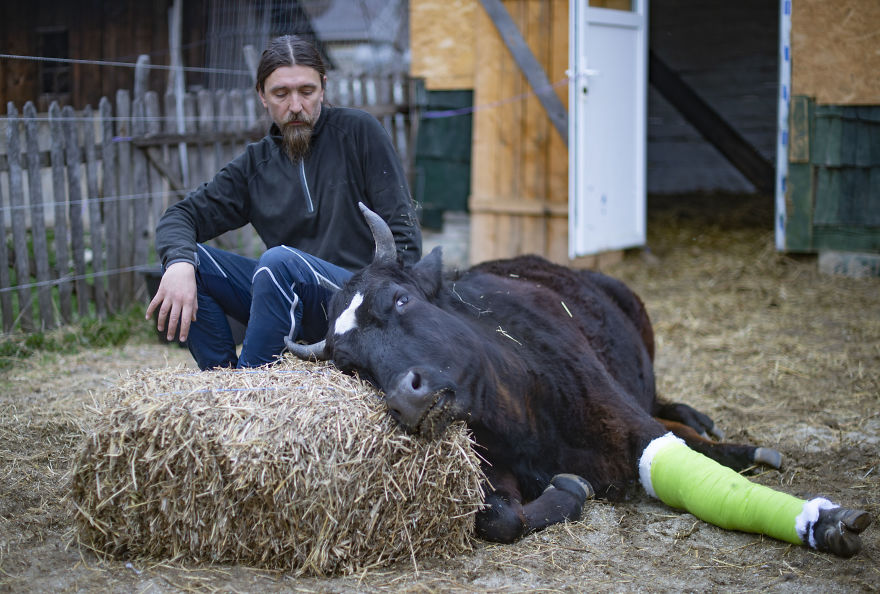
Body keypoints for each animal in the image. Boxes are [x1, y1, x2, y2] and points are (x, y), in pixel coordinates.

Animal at [287, 204, 871, 557]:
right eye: (350, 364)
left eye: (400, 299)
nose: (403, 399)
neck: (521, 411)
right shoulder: (492, 466)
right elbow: (499, 518)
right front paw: (567, 490)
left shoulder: (629, 425)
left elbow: (684, 459)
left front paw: (821, 521)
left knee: (667, 407)